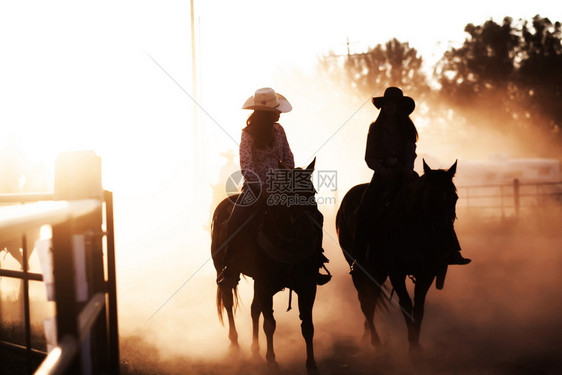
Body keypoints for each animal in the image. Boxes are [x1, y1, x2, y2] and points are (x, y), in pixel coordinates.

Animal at [210, 158, 324, 370]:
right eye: (288, 195)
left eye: (312, 192)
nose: (307, 233)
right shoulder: (265, 285)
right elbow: (270, 324)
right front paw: (271, 360)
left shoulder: (307, 286)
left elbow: (307, 326)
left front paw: (311, 364)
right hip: (223, 269)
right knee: (229, 301)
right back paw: (235, 342)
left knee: (254, 310)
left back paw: (255, 348)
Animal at [334, 162, 458, 352]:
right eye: (431, 199)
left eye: (454, 198)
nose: (445, 237)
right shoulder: (396, 272)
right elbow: (405, 304)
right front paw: (412, 347)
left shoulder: (427, 273)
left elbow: (419, 308)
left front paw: (416, 344)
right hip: (360, 270)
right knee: (366, 301)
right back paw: (376, 342)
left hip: (377, 272)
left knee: (371, 298)